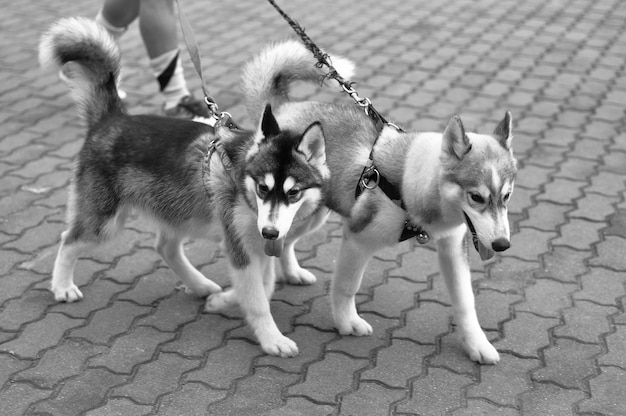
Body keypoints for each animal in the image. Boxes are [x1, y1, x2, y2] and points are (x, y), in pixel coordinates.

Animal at [39, 19, 330, 356]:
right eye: (262, 188)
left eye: (293, 193)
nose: (270, 232)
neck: (243, 188)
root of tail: (112, 118)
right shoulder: (239, 244)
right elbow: (257, 297)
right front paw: (272, 339)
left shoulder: (258, 245)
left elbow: (263, 286)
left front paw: (225, 300)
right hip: (105, 222)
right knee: (68, 240)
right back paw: (62, 286)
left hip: (178, 211)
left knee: (165, 246)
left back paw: (200, 285)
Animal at [239, 39, 516, 364]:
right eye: (476, 197)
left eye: (507, 196)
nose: (502, 245)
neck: (411, 184)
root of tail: (282, 107)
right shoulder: (357, 238)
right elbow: (347, 286)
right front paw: (347, 322)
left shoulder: (452, 245)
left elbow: (465, 302)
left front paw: (477, 345)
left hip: (309, 215)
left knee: (283, 243)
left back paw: (292, 273)